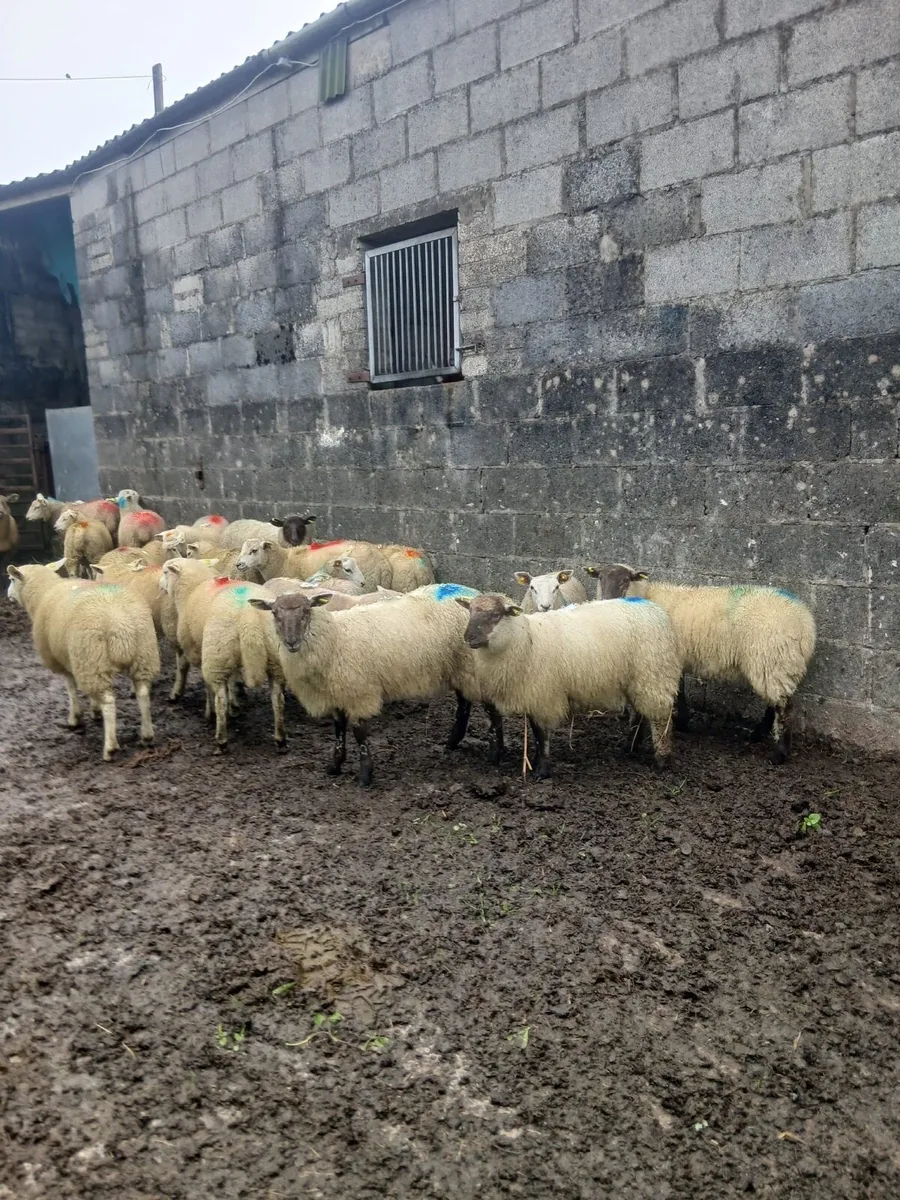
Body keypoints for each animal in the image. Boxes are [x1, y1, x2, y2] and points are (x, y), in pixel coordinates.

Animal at [7, 563, 160, 760]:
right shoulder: (79, 660)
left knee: (109, 701)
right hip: (141, 655)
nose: (8, 595)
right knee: (143, 693)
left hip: (93, 657)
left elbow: (71, 689)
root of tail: (119, 622)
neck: (43, 592)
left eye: (11, 579)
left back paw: (110, 747)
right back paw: (147, 735)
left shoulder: (64, 660)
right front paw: (94, 710)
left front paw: (75, 718)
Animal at [249, 589, 483, 786]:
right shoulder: (336, 694)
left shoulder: (358, 691)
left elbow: (360, 734)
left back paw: (456, 741)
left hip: (467, 666)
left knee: (466, 704)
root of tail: (472, 592)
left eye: (306, 611)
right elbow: (338, 729)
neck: (334, 639)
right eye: (274, 613)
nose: (291, 642)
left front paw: (365, 775)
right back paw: (453, 741)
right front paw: (335, 765)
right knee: (464, 702)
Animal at [457, 594, 681, 779]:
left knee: (661, 719)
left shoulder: (543, 696)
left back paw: (661, 759)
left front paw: (541, 770)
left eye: (495, 614)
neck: (524, 641)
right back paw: (630, 747)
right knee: (641, 714)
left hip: (654, 675)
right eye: (470, 611)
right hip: (639, 681)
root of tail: (655, 609)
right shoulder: (519, 695)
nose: (468, 638)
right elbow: (515, 729)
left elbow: (541, 735)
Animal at [585, 563, 817, 763]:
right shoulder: (675, 657)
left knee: (784, 708)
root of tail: (806, 623)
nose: (607, 600)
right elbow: (680, 689)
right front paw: (683, 721)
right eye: (601, 578)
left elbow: (678, 691)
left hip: (773, 659)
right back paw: (758, 734)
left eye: (625, 580)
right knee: (775, 703)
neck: (646, 596)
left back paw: (779, 754)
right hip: (774, 664)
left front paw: (680, 722)